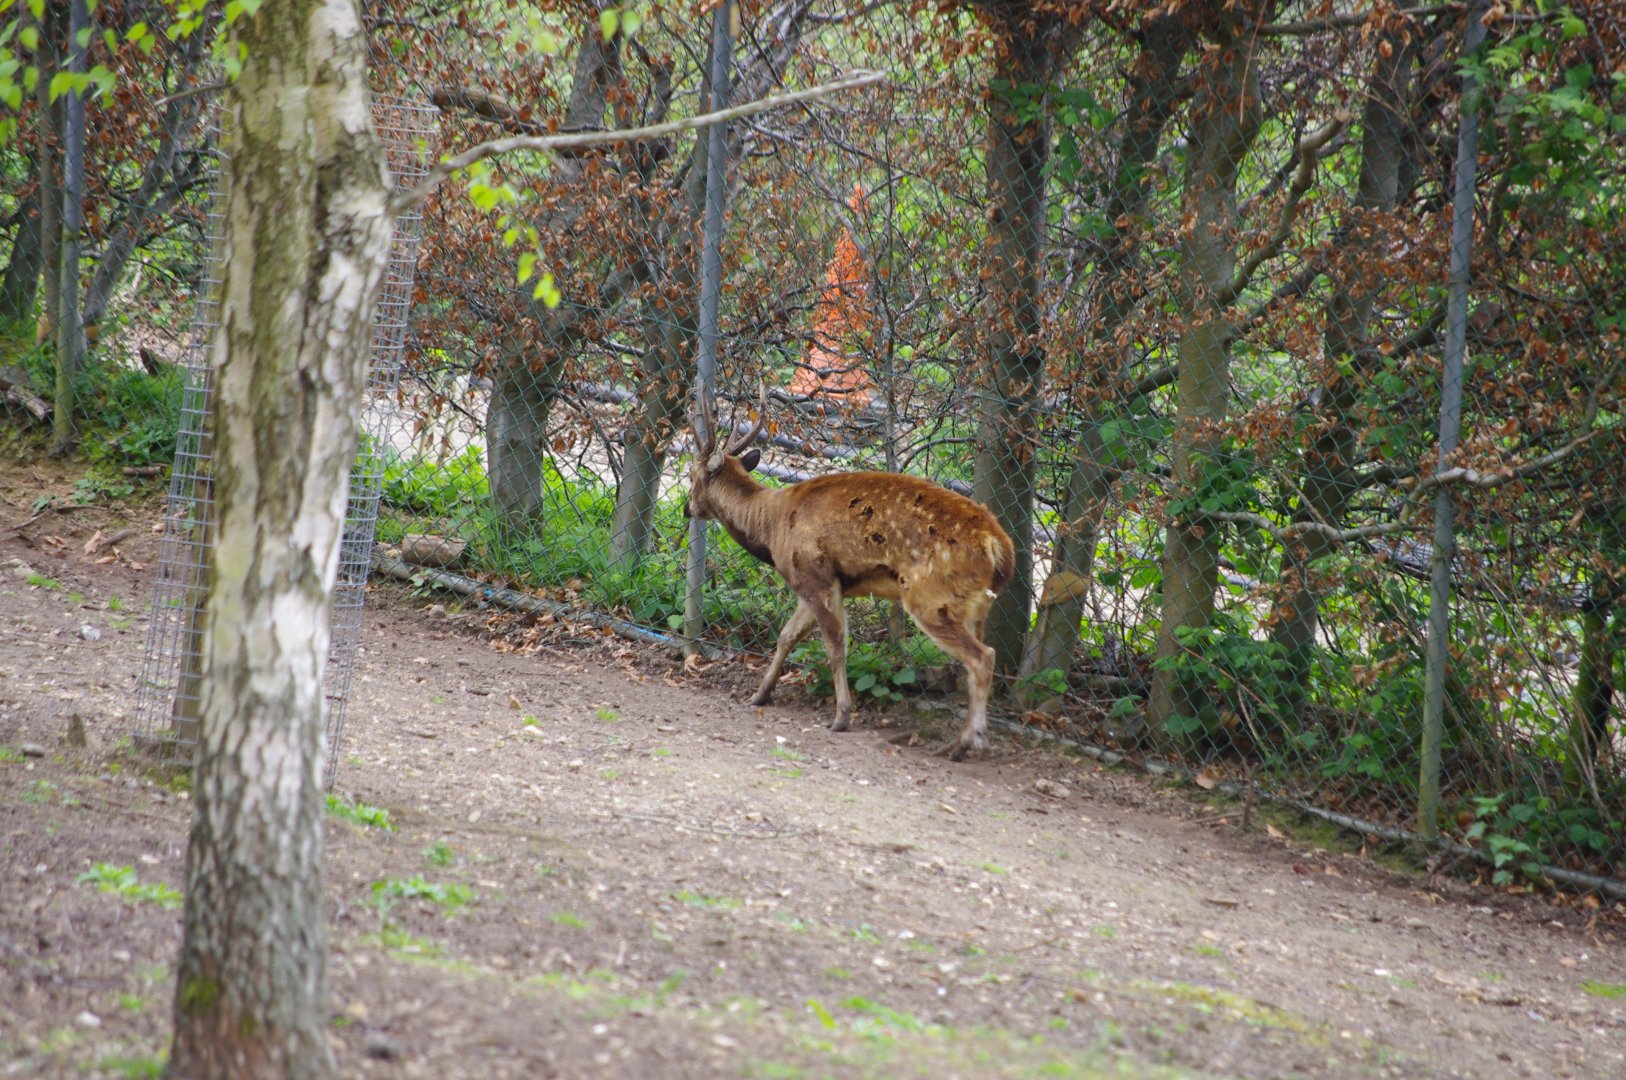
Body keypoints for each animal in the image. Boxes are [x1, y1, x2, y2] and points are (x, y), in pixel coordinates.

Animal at [682, 392, 1016, 760]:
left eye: (691, 475)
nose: (686, 508)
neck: (772, 528)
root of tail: (999, 547)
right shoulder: (817, 584)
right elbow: (787, 636)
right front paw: (760, 694)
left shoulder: (816, 575)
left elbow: (835, 646)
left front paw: (842, 715)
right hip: (974, 607)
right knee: (976, 662)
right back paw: (970, 739)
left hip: (931, 597)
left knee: (983, 657)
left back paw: (965, 743)